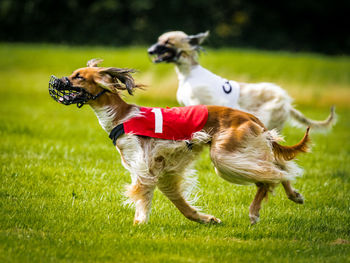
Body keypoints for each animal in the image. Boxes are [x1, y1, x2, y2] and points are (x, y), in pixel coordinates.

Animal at [48, 59, 308, 225]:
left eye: (78, 77)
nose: (56, 81)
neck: (121, 117)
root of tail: (251, 117)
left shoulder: (144, 167)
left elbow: (142, 197)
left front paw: (139, 225)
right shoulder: (164, 170)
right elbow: (182, 205)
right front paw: (207, 219)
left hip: (225, 158)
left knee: (274, 174)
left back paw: (258, 211)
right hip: (244, 151)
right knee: (278, 169)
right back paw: (290, 196)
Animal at [148, 30, 336, 132]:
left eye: (168, 42)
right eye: (158, 40)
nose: (150, 51)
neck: (189, 73)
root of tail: (287, 102)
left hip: (266, 117)